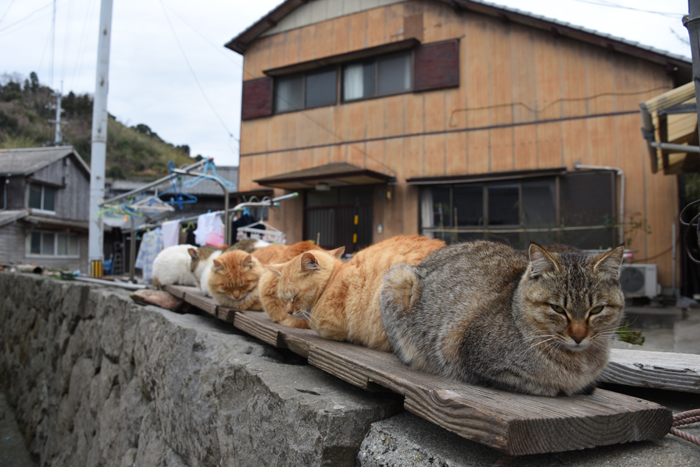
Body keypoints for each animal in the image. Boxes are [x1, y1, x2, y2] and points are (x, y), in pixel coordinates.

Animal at [380, 241, 628, 398]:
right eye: (557, 308)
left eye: (596, 310)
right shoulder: (472, 358)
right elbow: (540, 385)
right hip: (398, 278)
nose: (578, 336)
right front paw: (564, 387)